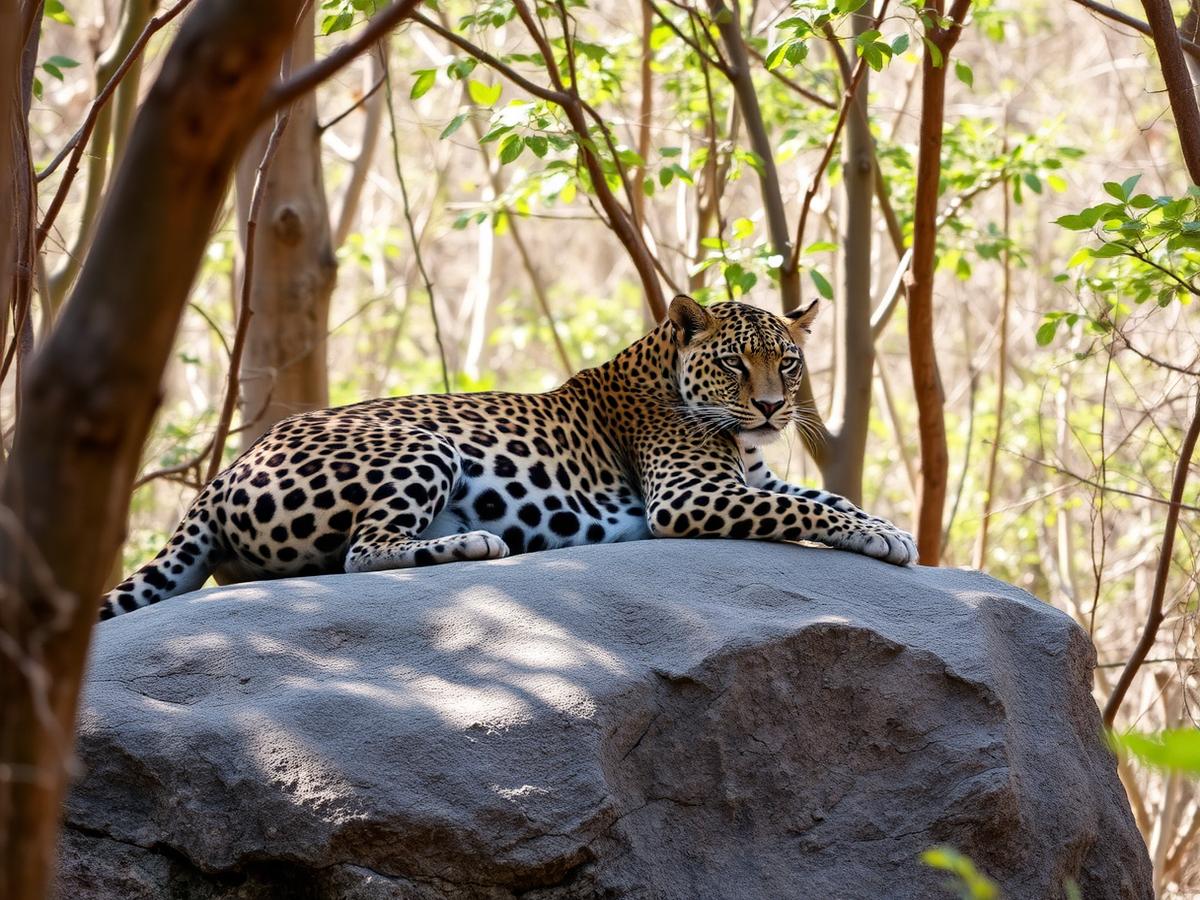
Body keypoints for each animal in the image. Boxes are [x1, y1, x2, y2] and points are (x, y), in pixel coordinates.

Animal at [99, 296, 916, 619]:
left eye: (789, 363)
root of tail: (224, 472)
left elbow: (822, 497)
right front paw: (884, 536)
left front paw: (885, 526)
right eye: (735, 365)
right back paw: (475, 542)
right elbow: (801, 508)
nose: (775, 408)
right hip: (420, 444)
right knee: (363, 552)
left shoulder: (747, 477)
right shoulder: (689, 496)